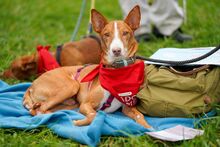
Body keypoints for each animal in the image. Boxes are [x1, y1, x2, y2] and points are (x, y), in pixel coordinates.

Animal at [23, 5, 152, 129]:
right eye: (106, 34)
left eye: (125, 33)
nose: (116, 51)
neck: (118, 72)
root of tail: (32, 84)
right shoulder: (85, 104)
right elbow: (93, 115)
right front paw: (78, 123)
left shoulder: (127, 107)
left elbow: (140, 115)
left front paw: (149, 129)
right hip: (71, 86)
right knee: (40, 110)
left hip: (71, 102)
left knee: (40, 109)